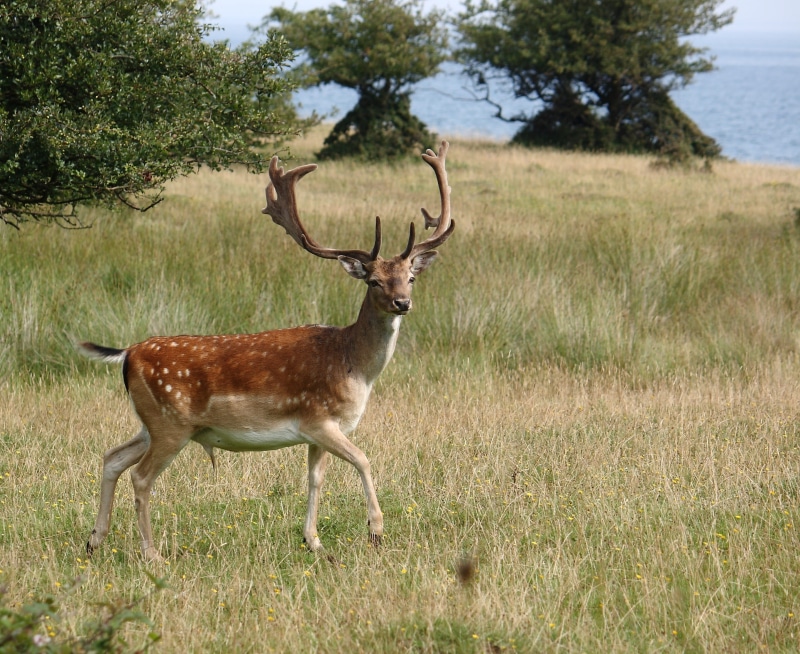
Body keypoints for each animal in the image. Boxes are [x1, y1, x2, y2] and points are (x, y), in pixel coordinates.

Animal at [78, 141, 454, 562]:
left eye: (410, 277)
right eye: (374, 281)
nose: (403, 303)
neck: (354, 367)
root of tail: (127, 354)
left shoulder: (321, 432)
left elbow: (315, 478)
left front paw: (314, 542)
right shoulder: (318, 418)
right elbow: (363, 459)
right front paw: (375, 531)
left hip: (150, 423)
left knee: (112, 458)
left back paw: (94, 540)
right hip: (170, 424)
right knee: (141, 477)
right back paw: (152, 555)